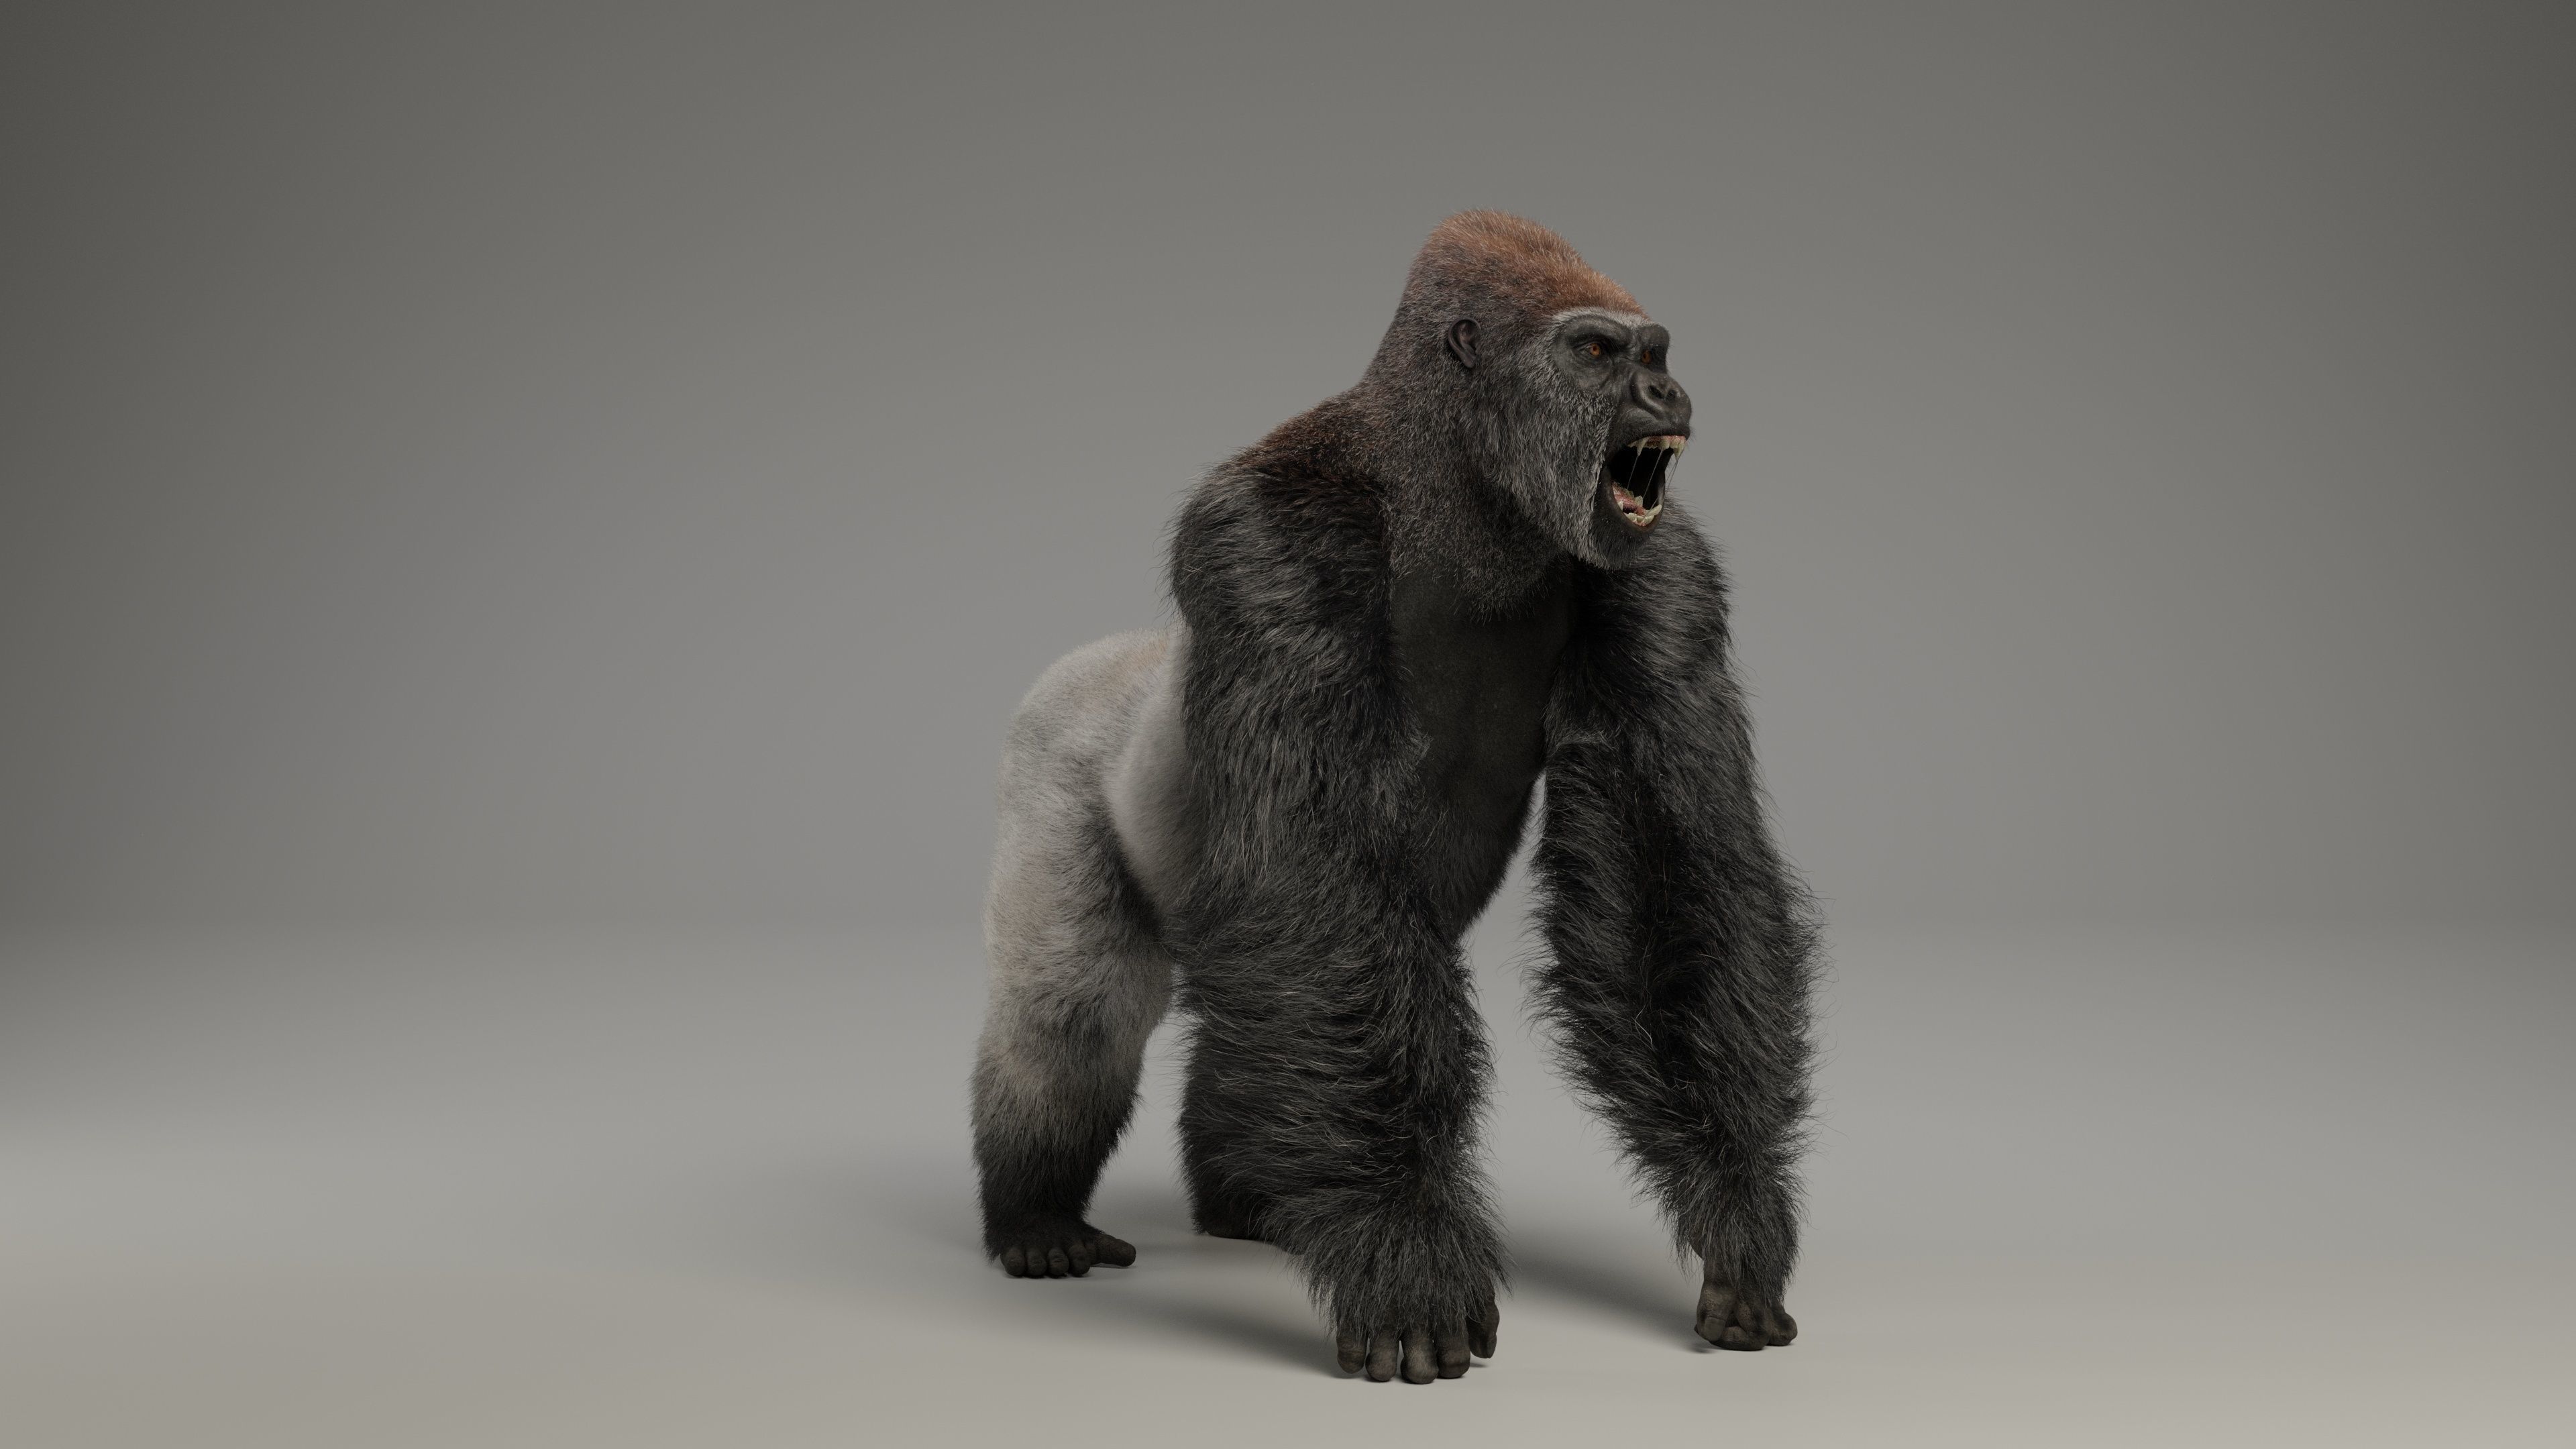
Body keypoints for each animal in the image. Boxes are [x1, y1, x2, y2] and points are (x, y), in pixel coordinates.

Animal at [969, 211, 1818, 1383]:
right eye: (1599, 353)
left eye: (1656, 352)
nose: (1670, 394)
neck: (1452, 485)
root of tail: (1104, 660)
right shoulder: (1269, 545)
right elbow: (1312, 874)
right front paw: (1408, 1254)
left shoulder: (1665, 572)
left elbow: (1667, 874)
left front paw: (1735, 1209)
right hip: (1049, 742)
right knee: (1074, 1007)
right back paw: (1036, 1213)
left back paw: (1248, 1199)